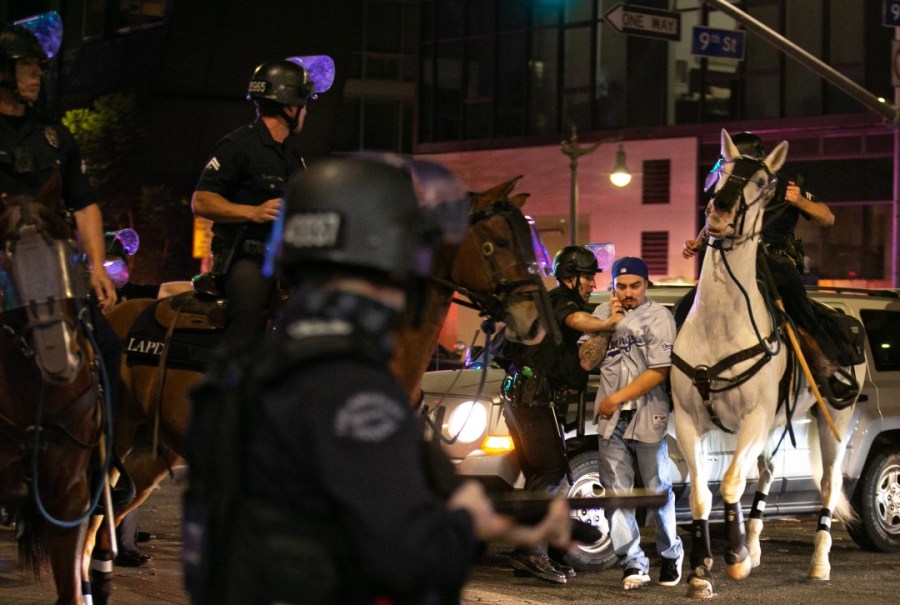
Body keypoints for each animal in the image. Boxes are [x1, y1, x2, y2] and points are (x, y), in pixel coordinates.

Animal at [676, 130, 856, 596]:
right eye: (719, 172)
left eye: (763, 182)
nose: (719, 210)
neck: (720, 324)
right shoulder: (688, 421)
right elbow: (701, 493)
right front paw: (701, 570)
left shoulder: (754, 418)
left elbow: (731, 482)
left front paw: (735, 558)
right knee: (769, 470)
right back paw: (757, 545)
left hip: (834, 420)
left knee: (829, 485)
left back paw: (818, 562)